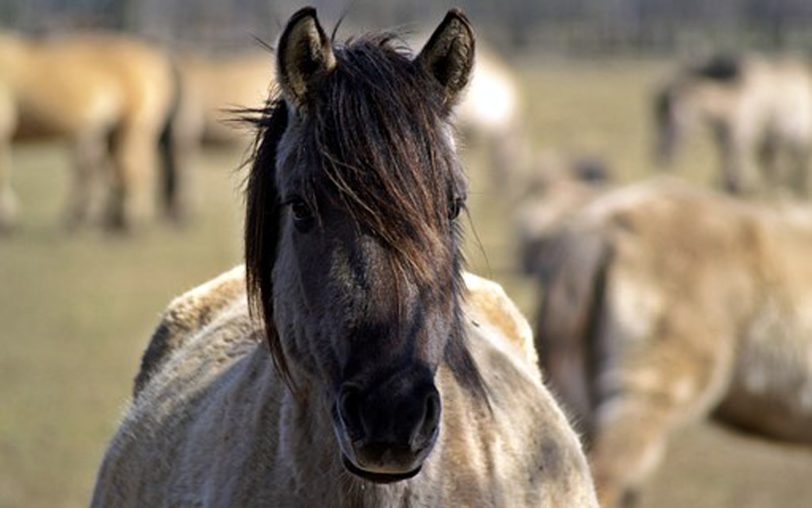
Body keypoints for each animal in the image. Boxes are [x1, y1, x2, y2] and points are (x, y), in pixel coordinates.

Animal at [0, 31, 178, 230]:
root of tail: (156, 62)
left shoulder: (4, 122)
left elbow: (3, 170)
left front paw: (7, 218)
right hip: (115, 133)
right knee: (118, 170)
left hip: (132, 127)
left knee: (131, 169)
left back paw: (124, 221)